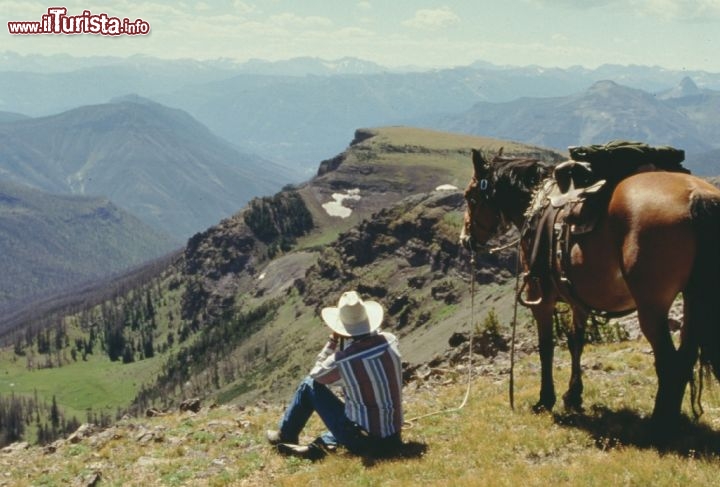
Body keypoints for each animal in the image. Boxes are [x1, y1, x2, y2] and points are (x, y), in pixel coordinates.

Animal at [462, 149, 720, 428]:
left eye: (470, 197)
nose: (465, 240)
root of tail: (695, 194)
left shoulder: (541, 300)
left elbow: (546, 347)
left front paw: (545, 400)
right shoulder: (579, 301)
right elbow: (577, 343)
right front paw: (573, 396)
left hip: (652, 307)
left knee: (669, 362)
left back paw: (659, 423)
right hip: (694, 299)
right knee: (685, 357)